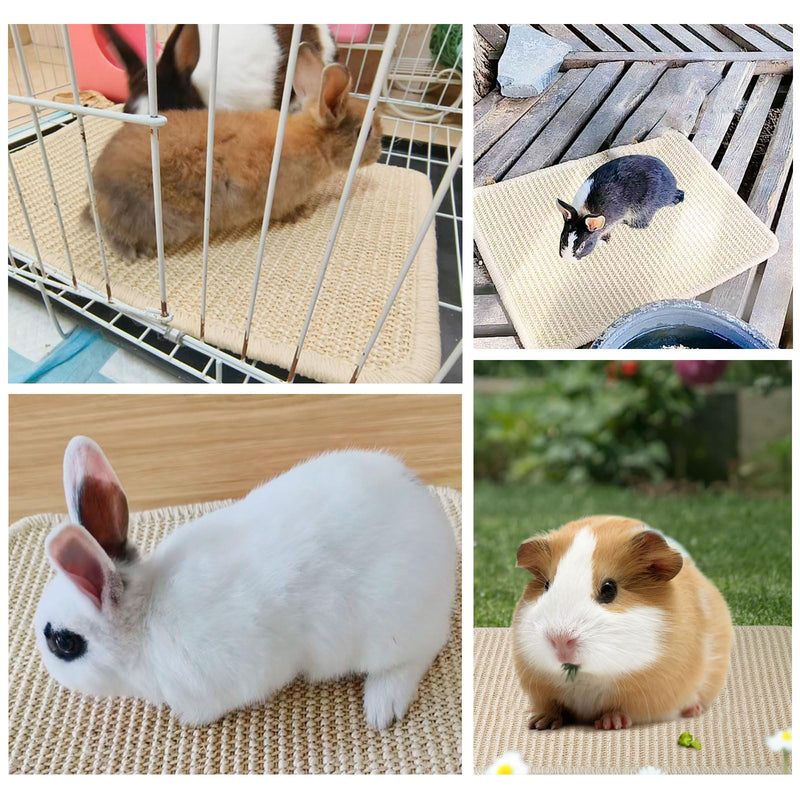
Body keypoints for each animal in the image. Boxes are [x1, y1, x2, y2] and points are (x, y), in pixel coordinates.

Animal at [33, 436, 457, 728]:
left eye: (64, 643)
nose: (47, 666)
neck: (144, 624)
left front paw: (188, 718)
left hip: (389, 628)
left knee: (419, 653)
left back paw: (382, 708)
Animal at [87, 43, 383, 261]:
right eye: (365, 133)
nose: (379, 153)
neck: (315, 141)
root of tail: (98, 188)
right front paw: (302, 213)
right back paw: (135, 252)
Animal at [511, 515, 732, 730]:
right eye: (547, 585)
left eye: (609, 589)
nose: (560, 640)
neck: (587, 677)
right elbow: (552, 706)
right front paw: (539, 723)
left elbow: (620, 709)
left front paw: (610, 724)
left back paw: (693, 710)